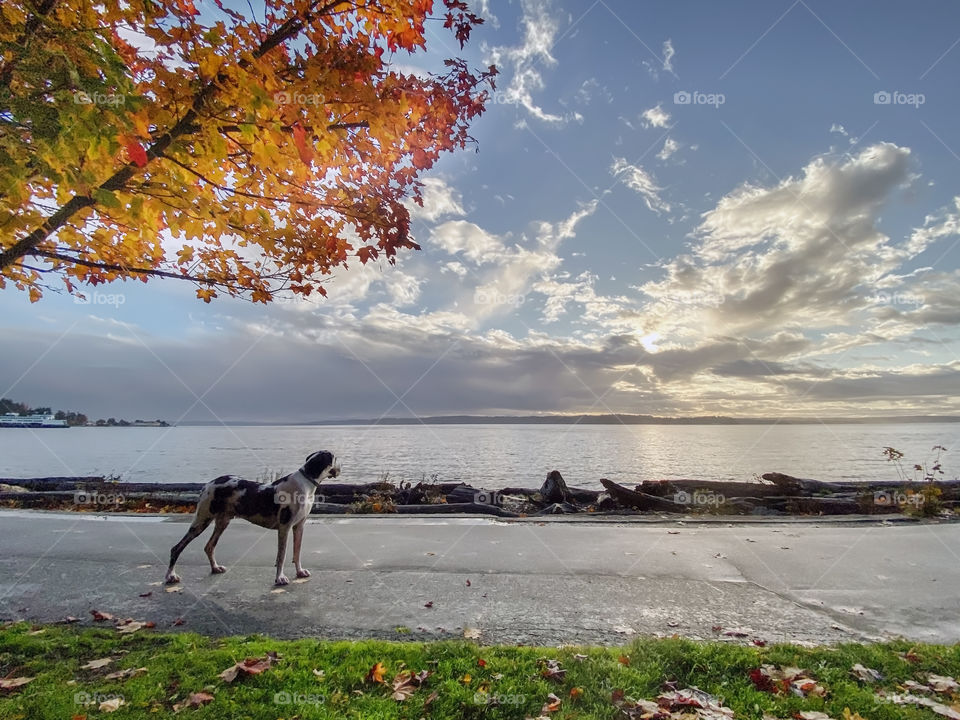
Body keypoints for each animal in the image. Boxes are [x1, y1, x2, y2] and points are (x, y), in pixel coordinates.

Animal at [167, 452, 340, 588]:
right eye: (335, 458)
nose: (340, 467)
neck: (306, 483)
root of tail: (207, 484)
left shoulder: (299, 526)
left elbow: (296, 552)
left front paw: (299, 572)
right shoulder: (284, 527)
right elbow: (282, 555)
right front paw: (280, 578)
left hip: (222, 522)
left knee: (209, 546)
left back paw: (215, 568)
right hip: (202, 520)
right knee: (176, 548)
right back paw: (171, 576)